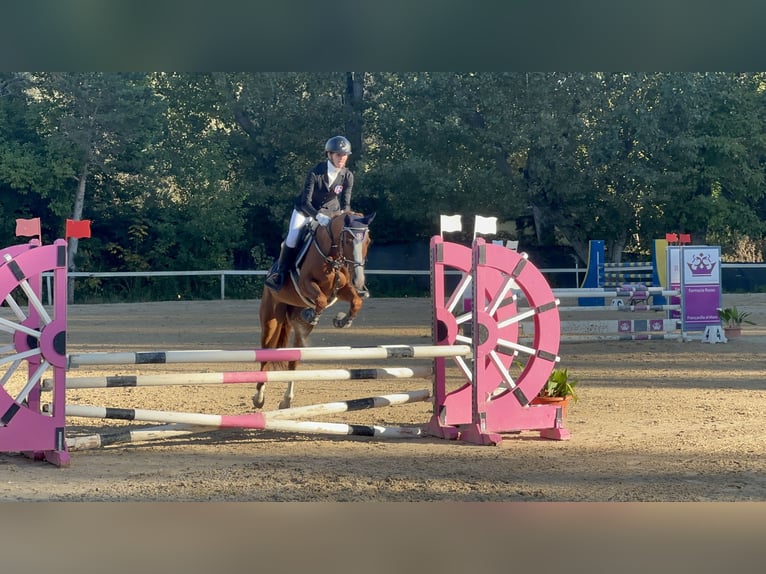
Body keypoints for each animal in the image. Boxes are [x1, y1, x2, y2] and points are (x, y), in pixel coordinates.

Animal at [254, 210, 376, 409]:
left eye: (368, 241)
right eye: (348, 240)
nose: (358, 281)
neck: (331, 255)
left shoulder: (342, 289)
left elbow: (356, 301)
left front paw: (343, 320)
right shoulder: (305, 283)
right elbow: (320, 299)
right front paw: (312, 314)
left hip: (299, 331)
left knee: (294, 360)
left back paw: (287, 400)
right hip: (271, 318)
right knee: (265, 354)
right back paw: (258, 398)